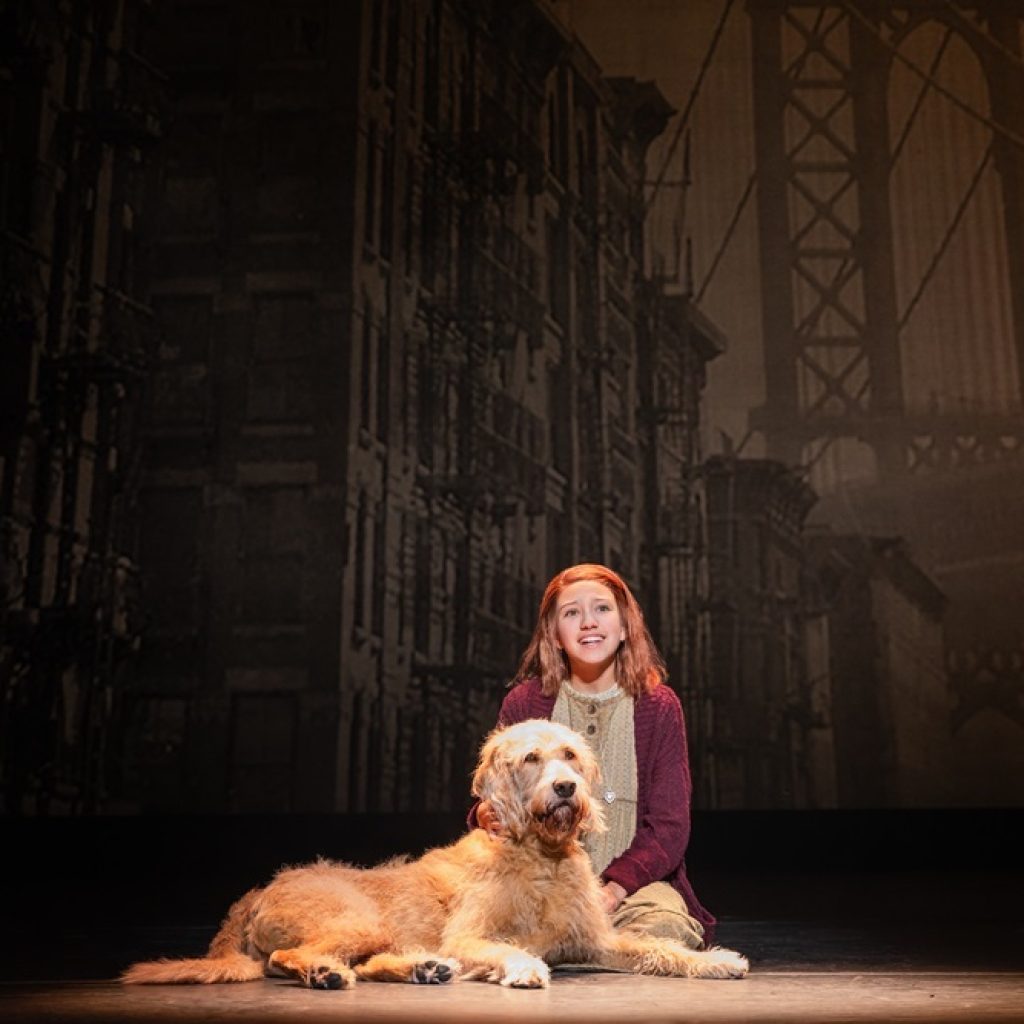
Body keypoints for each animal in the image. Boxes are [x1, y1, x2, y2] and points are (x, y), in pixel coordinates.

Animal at [123, 716, 749, 987]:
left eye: (570, 755)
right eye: (531, 758)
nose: (566, 789)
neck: (539, 860)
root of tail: (256, 892)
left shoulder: (596, 941)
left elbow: (656, 948)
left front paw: (713, 960)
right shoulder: (469, 935)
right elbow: (502, 947)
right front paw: (523, 967)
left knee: (371, 963)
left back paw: (422, 968)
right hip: (355, 919)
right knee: (287, 958)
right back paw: (328, 973)